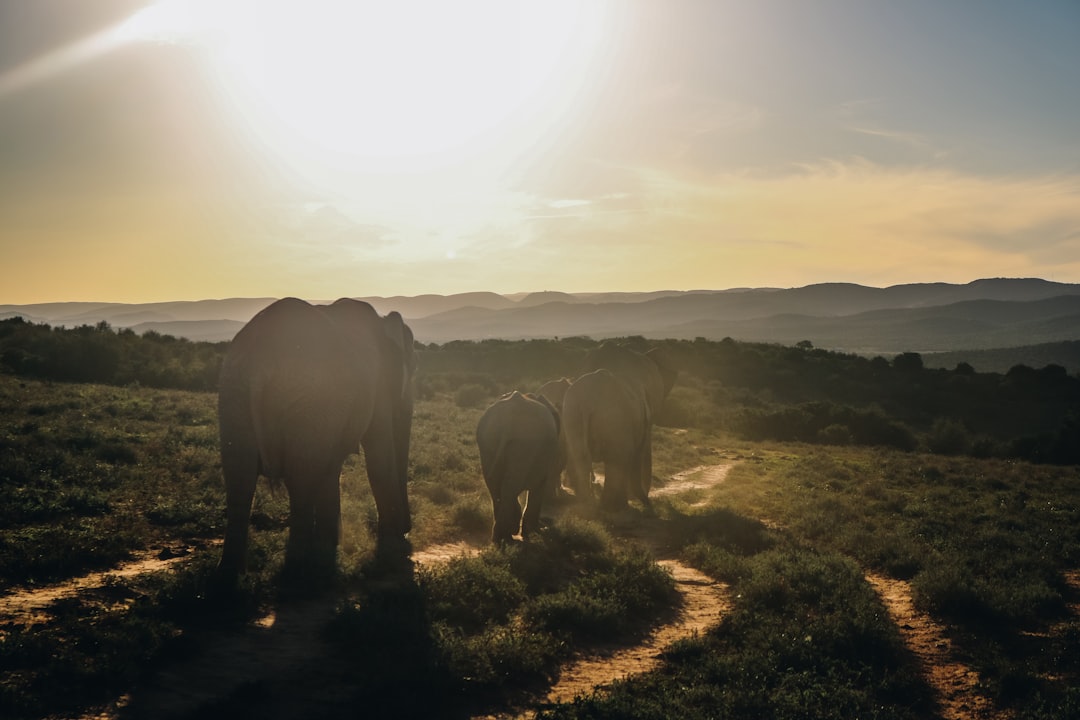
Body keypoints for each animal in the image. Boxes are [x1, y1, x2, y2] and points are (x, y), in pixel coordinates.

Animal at [214, 295, 412, 582]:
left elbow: (332, 468)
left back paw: (229, 577)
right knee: (300, 479)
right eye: (413, 368)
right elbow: (379, 461)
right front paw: (392, 550)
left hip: (234, 393)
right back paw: (297, 572)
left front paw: (331, 546)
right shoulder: (378, 387)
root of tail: (260, 362)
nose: (408, 533)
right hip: (309, 398)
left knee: (239, 477)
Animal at [477, 390, 561, 544]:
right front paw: (533, 533)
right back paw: (504, 538)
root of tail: (509, 420)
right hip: (524, 444)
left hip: (489, 440)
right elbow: (540, 486)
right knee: (507, 488)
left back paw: (499, 537)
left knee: (495, 486)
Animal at [557, 371, 648, 511]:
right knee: (616, 460)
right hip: (612, 419)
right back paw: (606, 506)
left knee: (580, 456)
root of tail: (587, 401)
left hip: (572, 415)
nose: (647, 504)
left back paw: (588, 503)